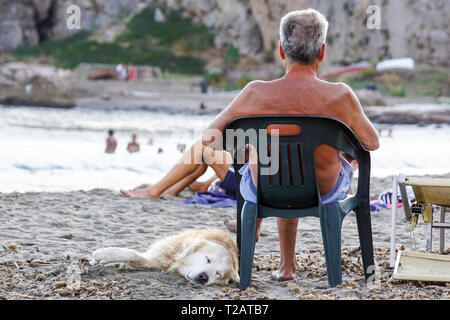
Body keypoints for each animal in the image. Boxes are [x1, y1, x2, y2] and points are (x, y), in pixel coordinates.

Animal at [91, 229, 239, 286]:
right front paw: (102, 255)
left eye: (218, 274)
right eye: (208, 259)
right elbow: (132, 254)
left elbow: (133, 255)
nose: (204, 277)